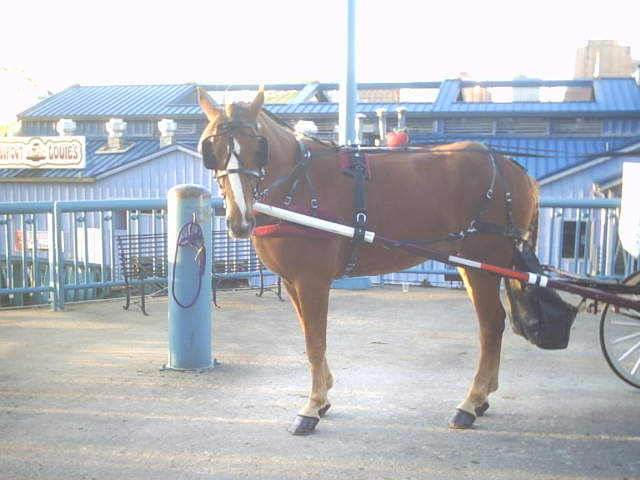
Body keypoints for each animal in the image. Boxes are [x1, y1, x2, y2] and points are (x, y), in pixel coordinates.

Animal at [198, 86, 536, 436]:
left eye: (258, 148)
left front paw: (312, 407)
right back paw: (482, 399)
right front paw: (324, 396)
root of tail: (513, 169)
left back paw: (471, 402)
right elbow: (308, 333)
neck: (297, 183)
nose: (240, 220)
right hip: (471, 267)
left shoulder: (312, 281)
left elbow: (315, 341)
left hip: (482, 266)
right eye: (212, 148)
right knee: (494, 322)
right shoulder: (292, 282)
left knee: (491, 325)